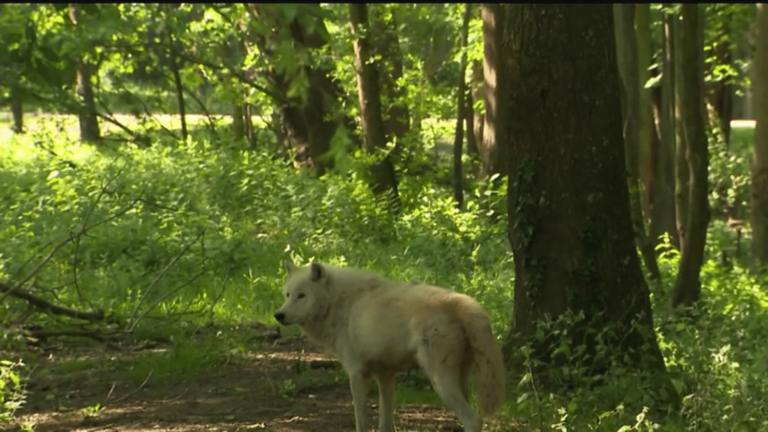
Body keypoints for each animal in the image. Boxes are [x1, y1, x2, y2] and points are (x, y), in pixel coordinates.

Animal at [272, 260, 508, 432]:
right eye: (287, 295)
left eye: (301, 295)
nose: (278, 315)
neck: (342, 305)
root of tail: (462, 302)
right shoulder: (385, 375)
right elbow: (385, 421)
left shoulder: (357, 374)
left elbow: (361, 421)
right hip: (459, 379)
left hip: (440, 381)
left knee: (474, 420)